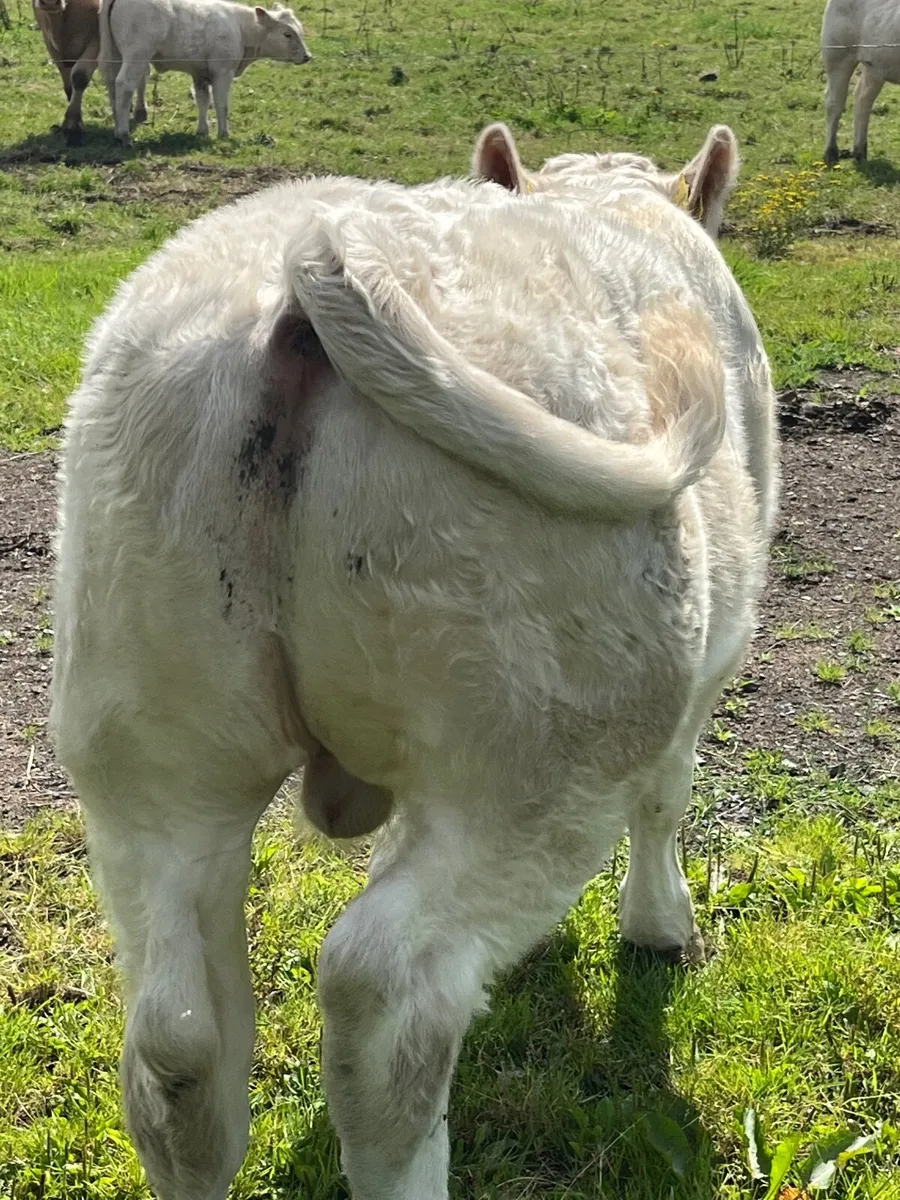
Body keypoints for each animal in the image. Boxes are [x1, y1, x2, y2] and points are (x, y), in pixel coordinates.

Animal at [51, 124, 778, 1200]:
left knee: (175, 1044)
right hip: (539, 759)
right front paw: (659, 925)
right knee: (382, 992)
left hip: (148, 754)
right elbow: (668, 796)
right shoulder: (704, 675)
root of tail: (309, 266)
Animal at [99, 0, 312, 144]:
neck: (239, 28)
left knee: (112, 83)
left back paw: (117, 128)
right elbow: (221, 103)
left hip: (114, 55)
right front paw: (224, 134)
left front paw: (202, 130)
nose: (307, 56)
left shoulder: (199, 73)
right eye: (287, 34)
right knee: (124, 84)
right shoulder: (223, 72)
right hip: (137, 56)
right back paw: (124, 133)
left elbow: (202, 100)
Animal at [822, 0, 900, 164]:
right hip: (838, 55)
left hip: (875, 67)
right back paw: (831, 153)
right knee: (834, 103)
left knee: (862, 98)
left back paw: (859, 152)